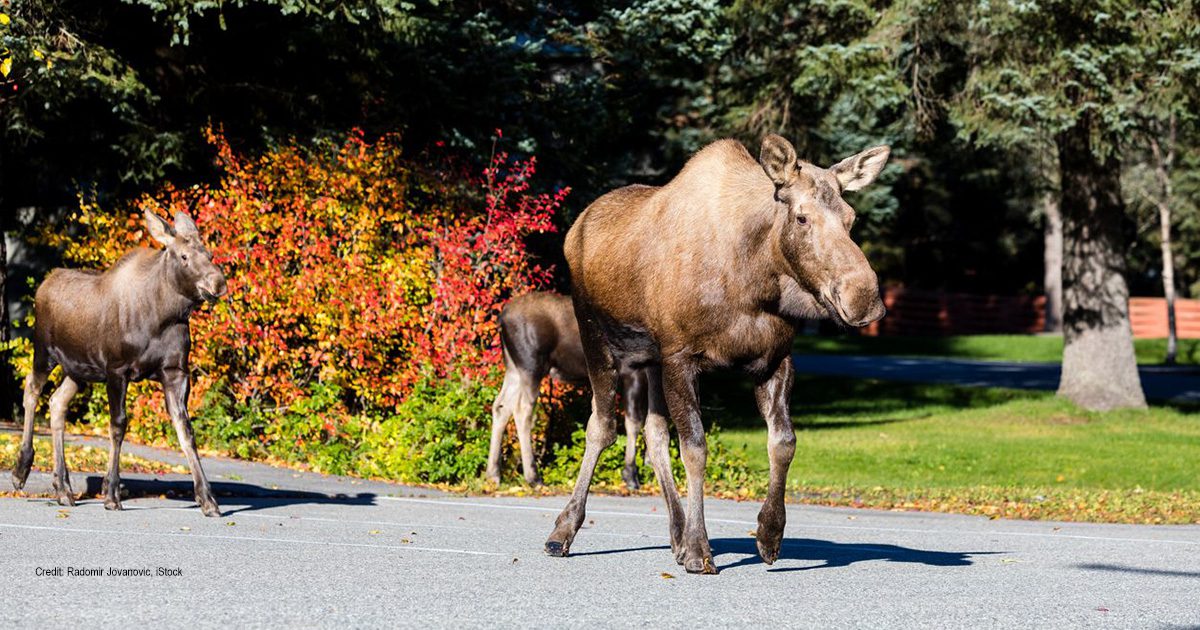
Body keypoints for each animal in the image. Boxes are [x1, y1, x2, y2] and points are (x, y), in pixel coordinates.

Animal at [11, 210, 228, 517]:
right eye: (184, 256)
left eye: (209, 254)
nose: (218, 283)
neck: (164, 317)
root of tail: (44, 284)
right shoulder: (117, 369)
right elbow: (117, 425)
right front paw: (111, 494)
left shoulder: (175, 371)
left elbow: (185, 429)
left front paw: (207, 499)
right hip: (44, 351)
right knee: (31, 390)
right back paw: (21, 470)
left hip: (79, 370)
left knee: (57, 402)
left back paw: (63, 488)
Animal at [487, 291, 647, 489]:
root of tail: (502, 318)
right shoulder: (633, 371)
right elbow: (634, 422)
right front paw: (631, 475)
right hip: (531, 365)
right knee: (522, 409)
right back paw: (533, 477)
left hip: (513, 367)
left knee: (501, 406)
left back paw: (493, 474)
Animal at [543, 135, 889, 573]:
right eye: (802, 218)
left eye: (851, 217)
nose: (864, 300)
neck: (754, 281)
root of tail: (576, 226)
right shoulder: (681, 357)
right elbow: (695, 448)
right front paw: (698, 549)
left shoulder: (775, 361)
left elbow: (783, 442)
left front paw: (768, 535)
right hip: (597, 337)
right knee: (601, 427)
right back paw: (563, 530)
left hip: (650, 359)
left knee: (654, 434)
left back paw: (674, 533)